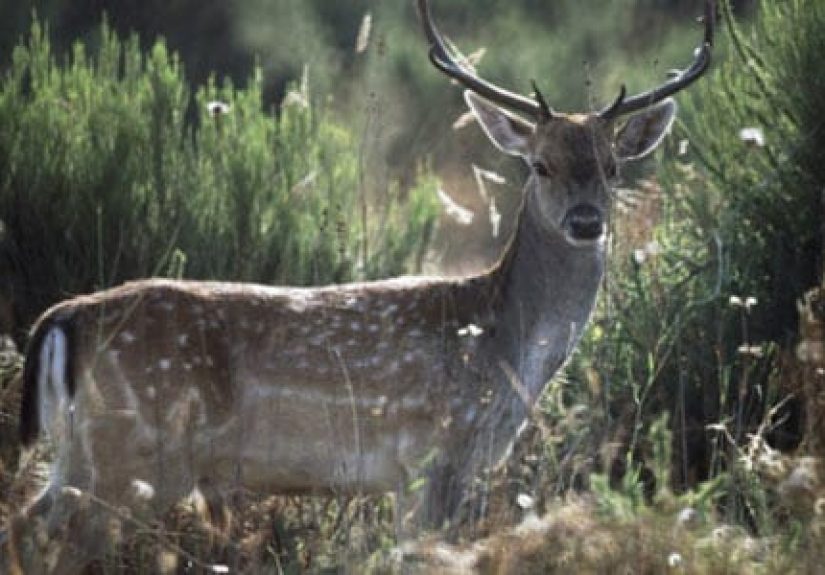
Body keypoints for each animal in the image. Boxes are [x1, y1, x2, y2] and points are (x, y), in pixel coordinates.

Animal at [4, 1, 715, 572]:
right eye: (540, 164)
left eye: (613, 166)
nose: (586, 221)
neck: (506, 349)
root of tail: (60, 319)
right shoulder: (434, 455)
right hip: (132, 454)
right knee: (52, 539)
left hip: (84, 452)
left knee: (25, 522)